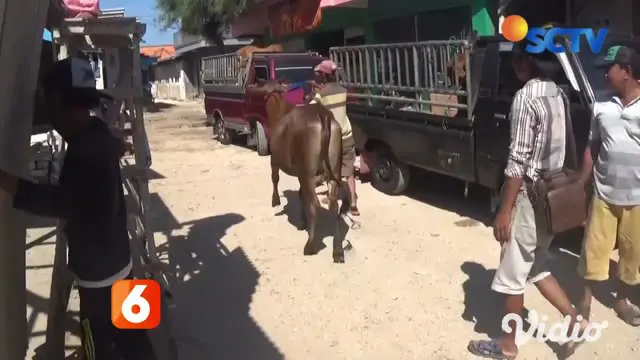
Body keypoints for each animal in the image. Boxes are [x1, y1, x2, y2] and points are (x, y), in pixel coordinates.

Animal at [262, 81, 350, 262]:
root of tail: (322, 114)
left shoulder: (274, 159)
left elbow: (275, 178)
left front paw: (275, 201)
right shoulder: (301, 172)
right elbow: (301, 194)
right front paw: (302, 222)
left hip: (308, 173)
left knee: (314, 205)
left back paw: (310, 245)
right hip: (331, 169)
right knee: (333, 205)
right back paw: (337, 250)